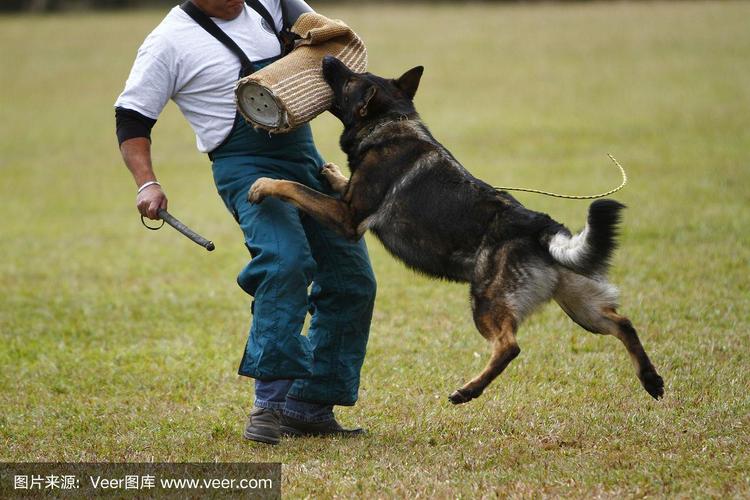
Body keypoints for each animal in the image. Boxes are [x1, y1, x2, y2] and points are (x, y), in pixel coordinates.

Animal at [250, 56, 668, 404]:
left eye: (350, 78)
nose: (326, 58)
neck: (392, 123)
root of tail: (541, 225)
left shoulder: (347, 218)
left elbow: (293, 187)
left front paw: (264, 185)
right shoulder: (346, 202)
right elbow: (335, 182)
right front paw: (331, 170)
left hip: (486, 301)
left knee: (509, 346)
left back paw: (468, 390)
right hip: (582, 309)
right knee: (623, 323)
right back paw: (650, 380)